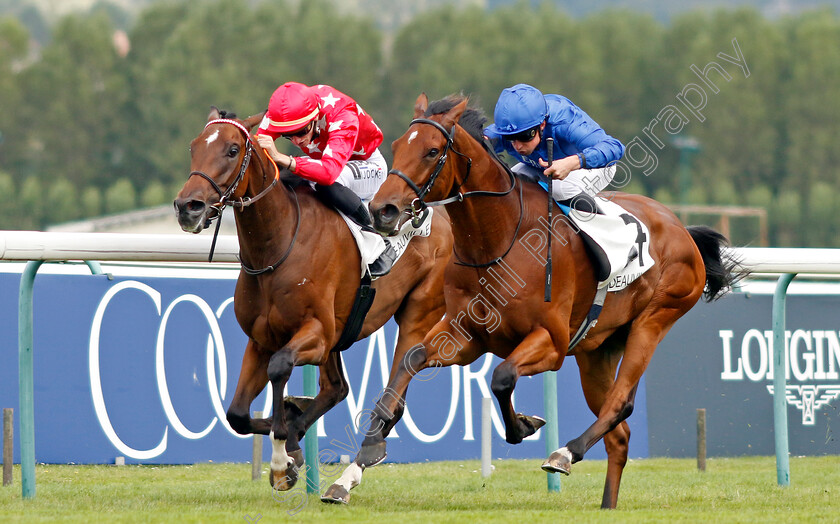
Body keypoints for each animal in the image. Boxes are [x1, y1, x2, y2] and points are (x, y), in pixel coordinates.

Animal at [172, 108, 452, 494]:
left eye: (232, 150)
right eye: (193, 147)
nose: (188, 206)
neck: (277, 245)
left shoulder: (315, 334)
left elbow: (280, 367)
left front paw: (282, 456)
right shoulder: (261, 339)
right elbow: (237, 415)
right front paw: (290, 439)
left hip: (417, 313)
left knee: (397, 381)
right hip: (340, 334)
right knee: (337, 388)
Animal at [324, 95, 744, 508]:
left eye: (431, 151)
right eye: (396, 146)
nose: (382, 210)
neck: (498, 240)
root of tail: (681, 227)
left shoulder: (552, 341)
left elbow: (502, 376)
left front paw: (525, 425)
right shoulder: (467, 336)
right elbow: (410, 362)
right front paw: (358, 464)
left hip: (654, 321)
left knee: (622, 402)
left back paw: (565, 453)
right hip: (597, 350)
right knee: (620, 435)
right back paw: (606, 504)